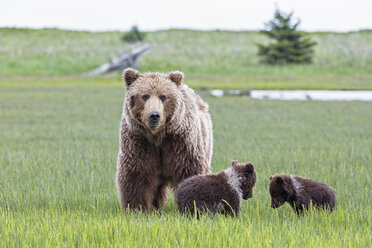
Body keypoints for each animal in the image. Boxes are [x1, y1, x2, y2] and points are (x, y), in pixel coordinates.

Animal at [115, 69, 212, 212]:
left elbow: (189, 170)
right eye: (145, 96)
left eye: (163, 97)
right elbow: (136, 174)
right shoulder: (139, 142)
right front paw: (137, 208)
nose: (154, 115)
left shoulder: (181, 143)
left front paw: (192, 206)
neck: (158, 136)